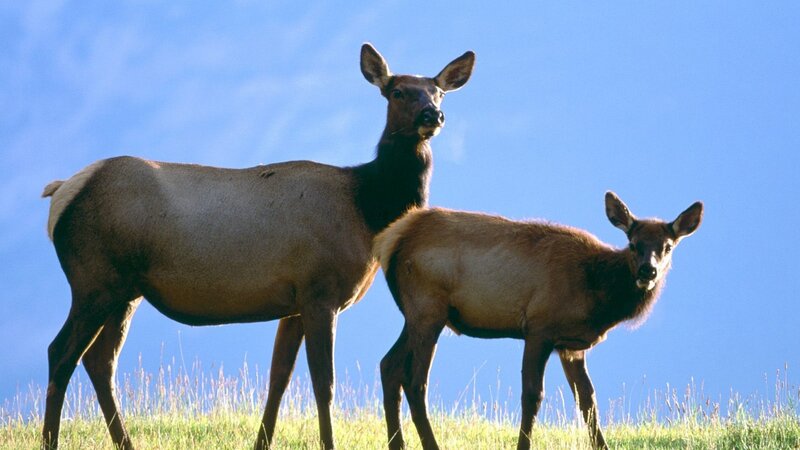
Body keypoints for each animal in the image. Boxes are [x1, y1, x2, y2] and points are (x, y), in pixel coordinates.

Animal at [39, 43, 474, 450]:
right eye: (397, 91)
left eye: (438, 92)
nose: (432, 116)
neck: (368, 211)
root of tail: (61, 192)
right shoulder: (320, 290)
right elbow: (324, 384)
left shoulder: (294, 302)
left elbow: (278, 379)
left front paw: (261, 442)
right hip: (94, 280)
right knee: (61, 353)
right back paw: (50, 439)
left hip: (125, 290)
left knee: (99, 360)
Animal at [372, 192, 703, 450]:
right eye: (633, 243)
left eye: (668, 246)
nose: (648, 271)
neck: (595, 295)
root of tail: (390, 240)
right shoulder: (539, 327)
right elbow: (532, 395)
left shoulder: (571, 346)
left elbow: (588, 400)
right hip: (429, 308)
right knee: (415, 381)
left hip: (416, 314)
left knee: (389, 365)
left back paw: (397, 444)